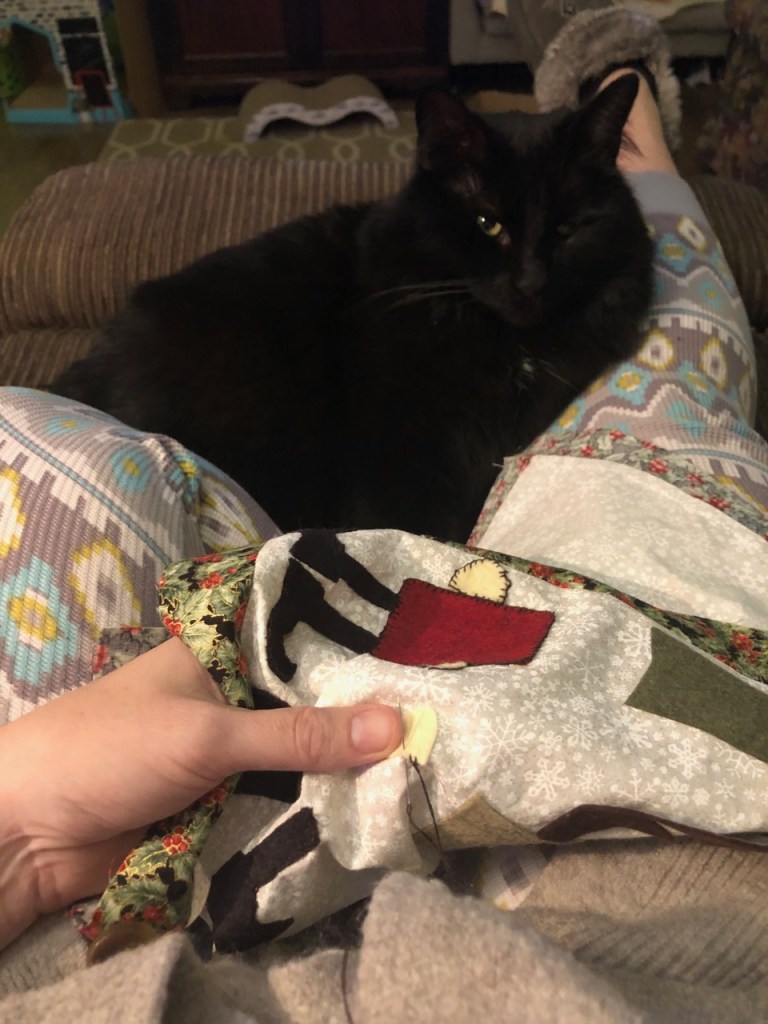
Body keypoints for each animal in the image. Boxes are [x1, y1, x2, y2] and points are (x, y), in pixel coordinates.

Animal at [52, 76, 654, 543]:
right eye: (488, 224)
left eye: (567, 230)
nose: (531, 283)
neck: (503, 341)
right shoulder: (402, 450)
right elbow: (414, 527)